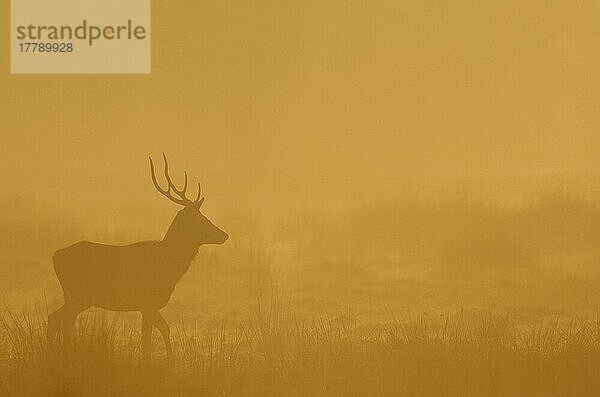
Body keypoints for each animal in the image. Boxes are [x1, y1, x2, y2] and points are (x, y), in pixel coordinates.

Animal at [47, 154, 227, 358]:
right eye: (200, 219)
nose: (224, 235)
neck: (169, 265)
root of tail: (55, 256)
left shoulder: (150, 306)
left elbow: (162, 329)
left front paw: (170, 360)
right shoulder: (147, 302)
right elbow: (148, 341)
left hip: (76, 296)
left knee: (55, 318)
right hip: (78, 294)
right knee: (60, 319)